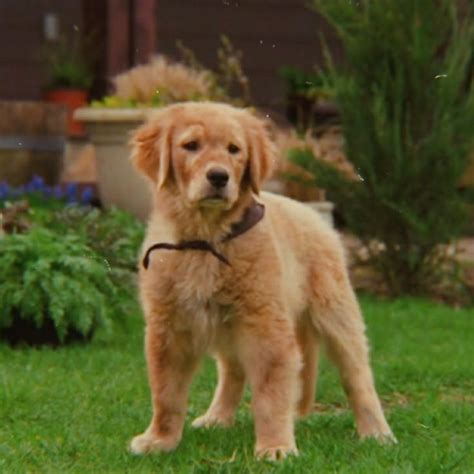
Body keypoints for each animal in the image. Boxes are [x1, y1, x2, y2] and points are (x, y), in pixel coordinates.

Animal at [128, 102, 394, 462]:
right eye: (191, 146)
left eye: (234, 150)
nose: (219, 177)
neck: (207, 239)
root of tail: (312, 213)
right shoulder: (167, 328)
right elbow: (166, 393)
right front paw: (160, 439)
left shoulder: (265, 325)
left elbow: (271, 394)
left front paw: (275, 446)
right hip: (229, 326)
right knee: (232, 370)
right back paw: (217, 417)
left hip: (335, 313)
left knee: (358, 376)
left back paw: (376, 432)